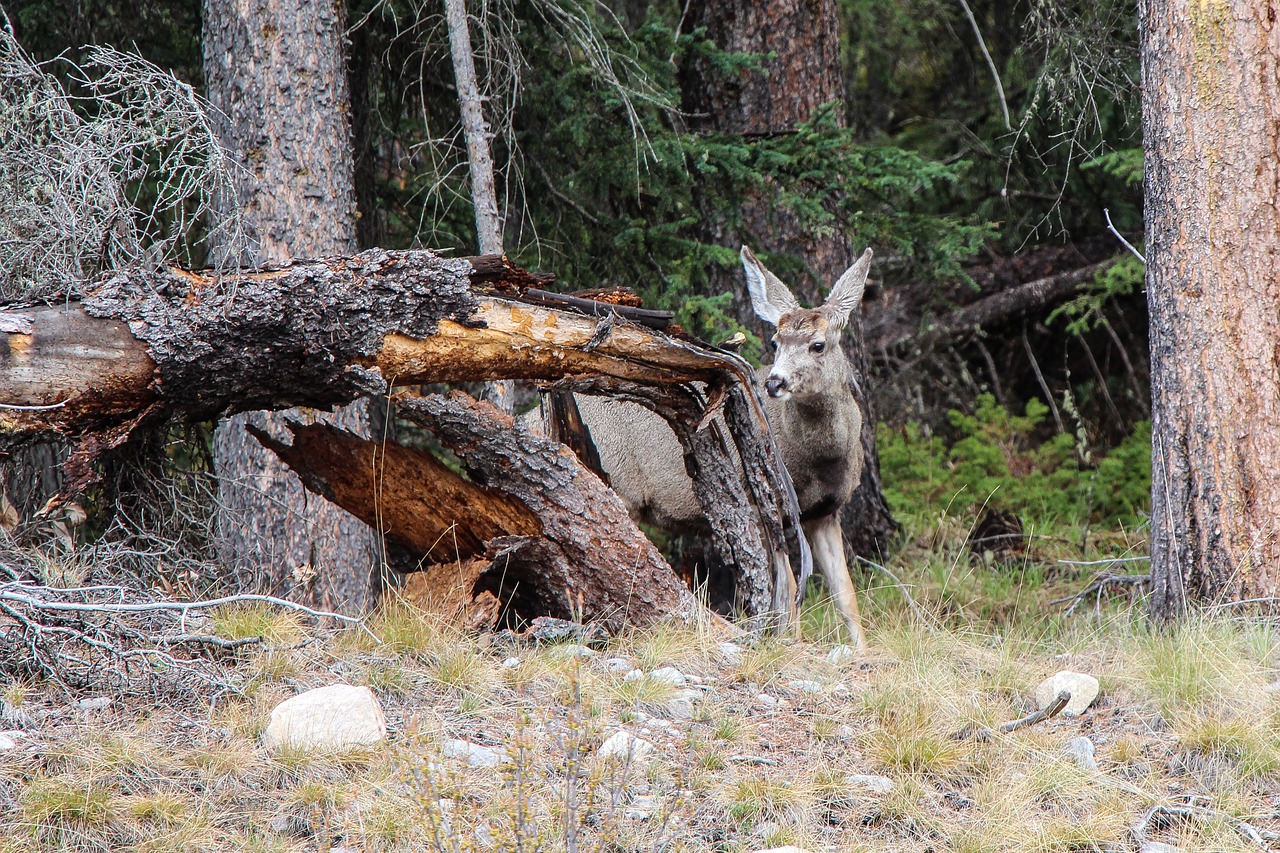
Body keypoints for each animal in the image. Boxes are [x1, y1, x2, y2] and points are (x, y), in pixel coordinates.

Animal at [550, 245, 870, 645]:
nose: (775, 383)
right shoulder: (760, 502)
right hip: (617, 486)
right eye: (775, 342)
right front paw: (791, 645)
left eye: (818, 345)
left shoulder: (826, 511)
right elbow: (788, 593)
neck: (820, 462)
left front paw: (862, 650)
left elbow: (847, 596)